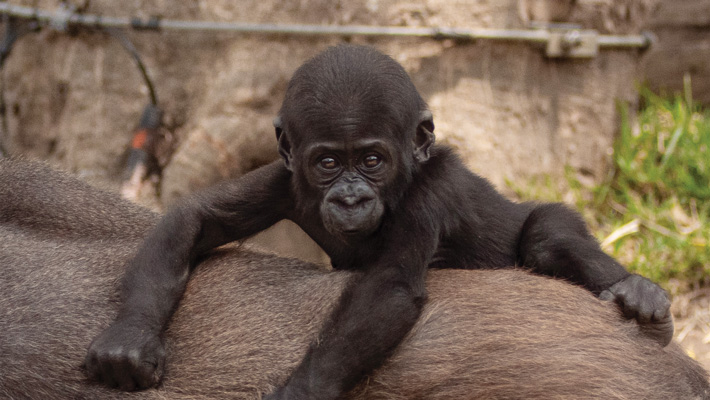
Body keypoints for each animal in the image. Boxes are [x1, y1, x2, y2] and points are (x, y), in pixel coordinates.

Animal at [85, 45, 672, 398]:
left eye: (372, 160)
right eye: (328, 163)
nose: (349, 197)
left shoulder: (428, 196)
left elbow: (388, 289)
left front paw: (301, 392)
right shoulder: (286, 180)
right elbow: (196, 218)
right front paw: (130, 338)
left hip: (551, 218)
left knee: (549, 236)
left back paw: (639, 295)